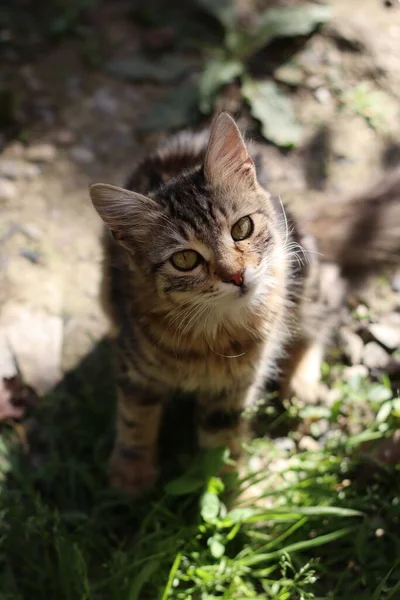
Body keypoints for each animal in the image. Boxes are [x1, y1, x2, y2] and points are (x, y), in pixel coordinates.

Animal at [90, 113, 400, 496]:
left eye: (242, 229)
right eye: (184, 260)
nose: (235, 275)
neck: (211, 338)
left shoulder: (235, 389)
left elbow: (222, 446)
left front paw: (233, 494)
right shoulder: (135, 369)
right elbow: (135, 419)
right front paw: (130, 472)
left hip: (305, 275)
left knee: (328, 304)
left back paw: (301, 382)